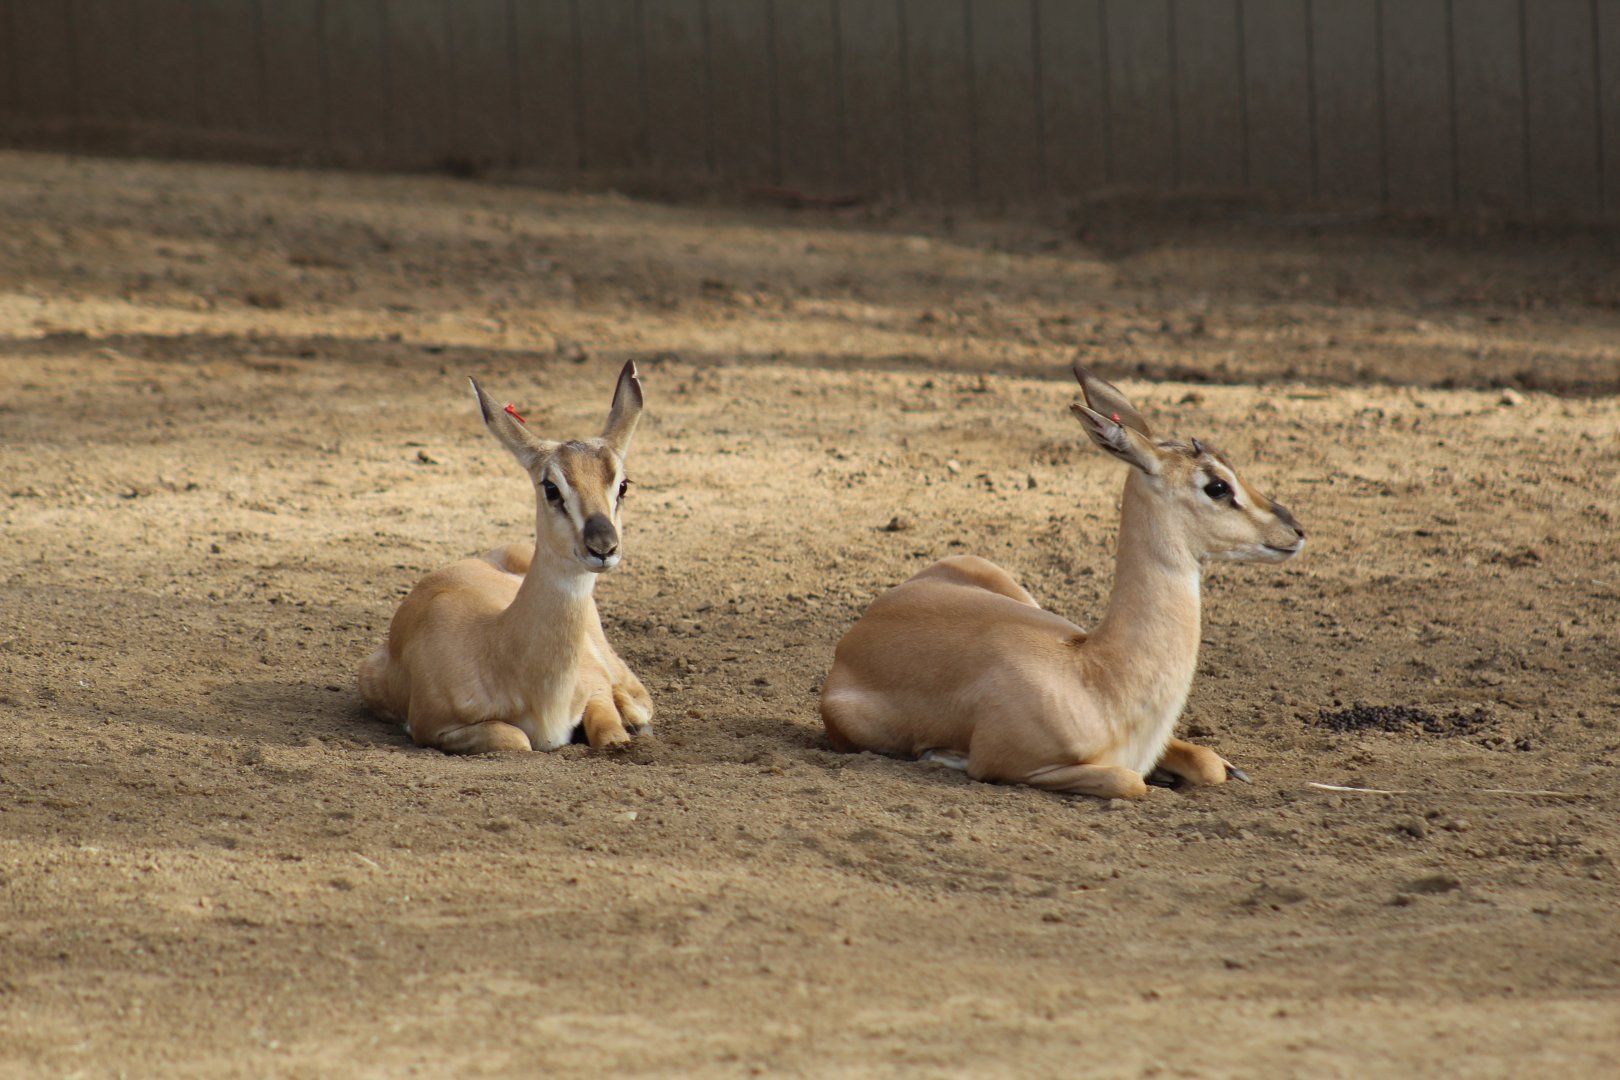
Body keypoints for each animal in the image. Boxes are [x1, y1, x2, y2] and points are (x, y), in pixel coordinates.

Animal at [359, 361, 654, 753]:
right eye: (551, 487)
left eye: (622, 485)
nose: (603, 547)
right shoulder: (435, 727)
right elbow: (517, 738)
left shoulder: (596, 693)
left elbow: (611, 736)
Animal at [820, 365, 1306, 799]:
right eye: (1217, 486)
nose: (1296, 531)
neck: (1096, 677)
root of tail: (864, 623)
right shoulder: (1014, 765)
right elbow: (1128, 781)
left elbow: (1206, 764)